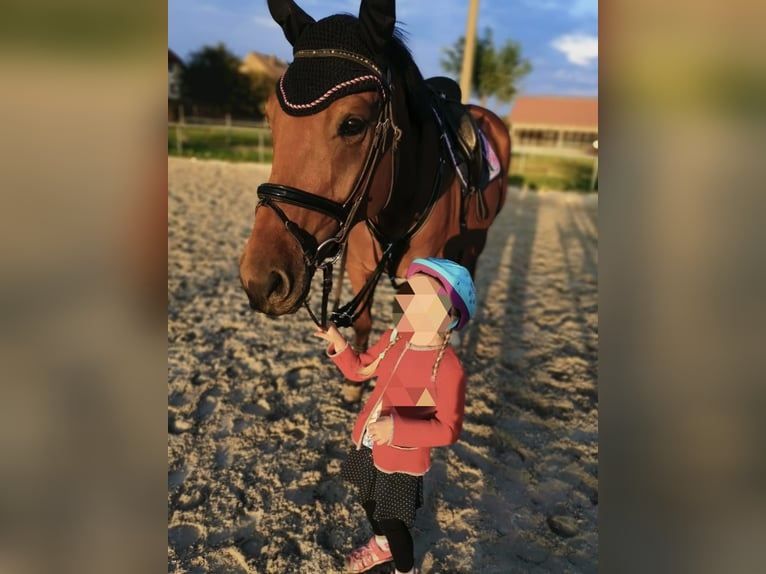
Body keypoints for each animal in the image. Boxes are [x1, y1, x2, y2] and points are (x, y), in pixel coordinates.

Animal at [239, 0, 511, 400]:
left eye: (353, 124)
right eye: (270, 118)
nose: (260, 280)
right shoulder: (359, 265)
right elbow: (364, 322)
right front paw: (356, 383)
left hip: (478, 237)